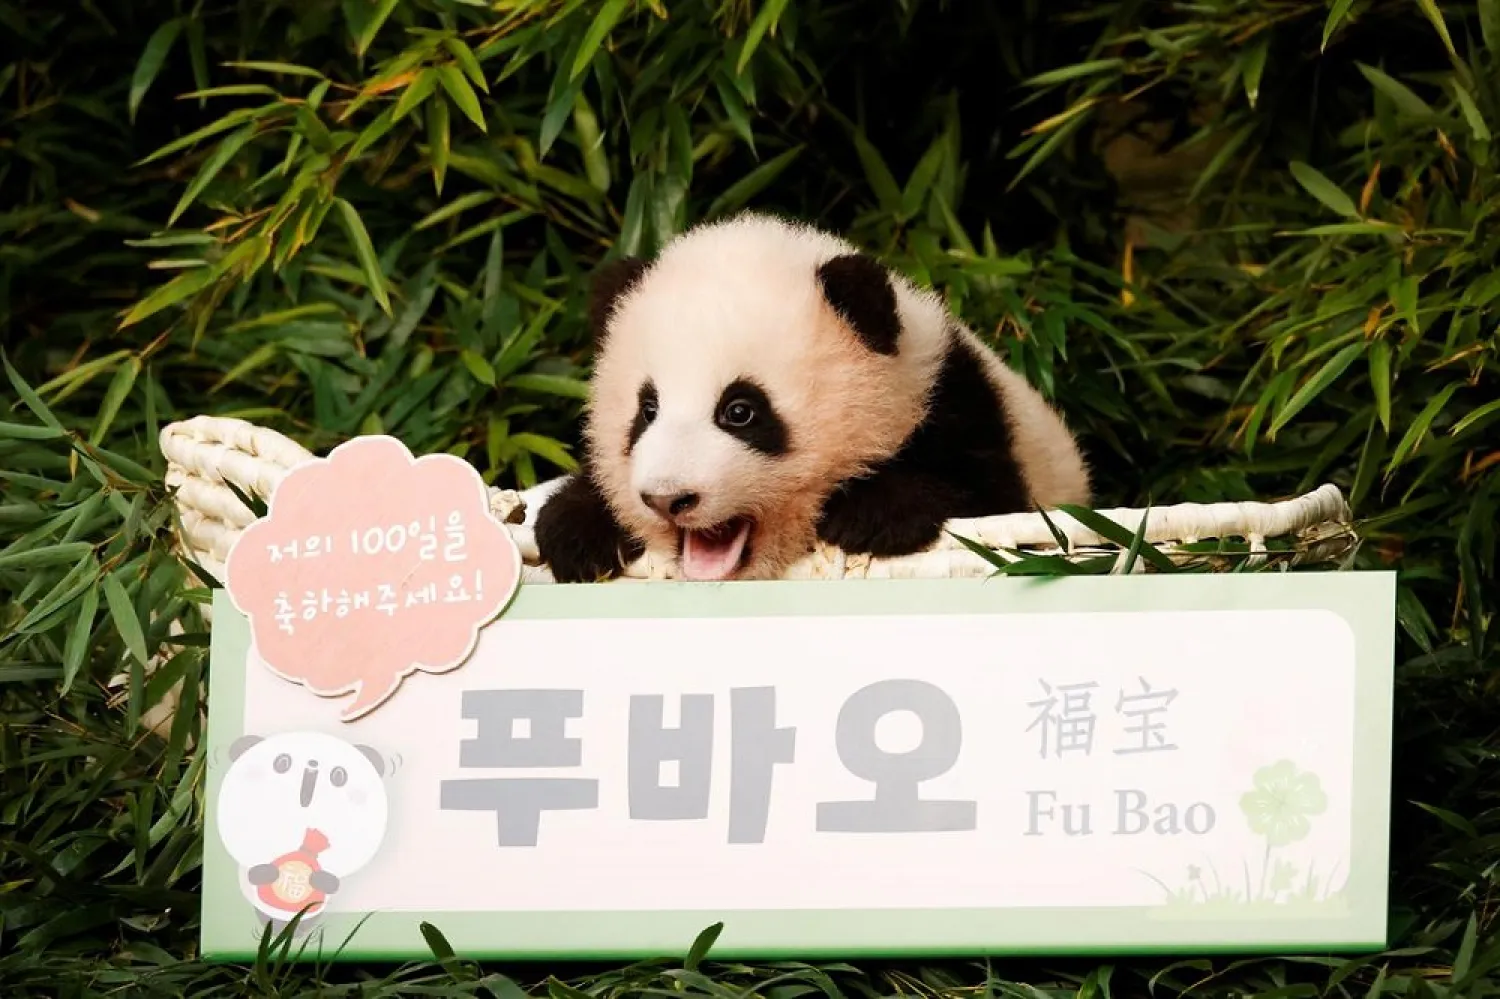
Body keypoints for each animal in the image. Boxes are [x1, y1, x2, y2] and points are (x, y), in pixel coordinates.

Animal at [533, 211, 1091, 583]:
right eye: (646, 411)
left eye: (741, 411)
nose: (668, 498)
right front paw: (575, 530)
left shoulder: (958, 406)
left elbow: (991, 503)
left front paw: (870, 513)